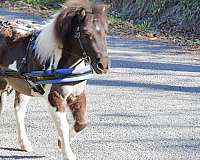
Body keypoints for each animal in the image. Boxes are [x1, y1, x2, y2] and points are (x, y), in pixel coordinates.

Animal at [0, 0, 108, 159]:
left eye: (105, 32)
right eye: (86, 33)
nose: (103, 65)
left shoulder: (77, 94)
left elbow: (81, 123)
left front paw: (60, 143)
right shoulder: (54, 97)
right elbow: (63, 125)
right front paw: (67, 153)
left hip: (22, 85)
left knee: (19, 110)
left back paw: (24, 143)